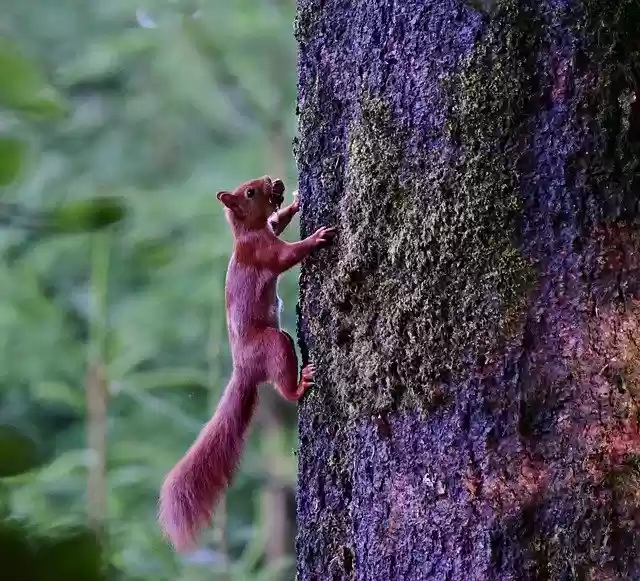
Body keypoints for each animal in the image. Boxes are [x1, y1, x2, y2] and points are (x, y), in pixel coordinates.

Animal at [157, 175, 336, 551]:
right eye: (250, 192)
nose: (274, 181)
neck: (246, 232)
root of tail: (244, 369)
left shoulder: (266, 230)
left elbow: (277, 222)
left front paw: (294, 204)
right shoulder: (261, 251)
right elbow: (286, 255)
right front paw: (316, 237)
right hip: (274, 345)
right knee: (284, 383)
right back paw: (300, 385)